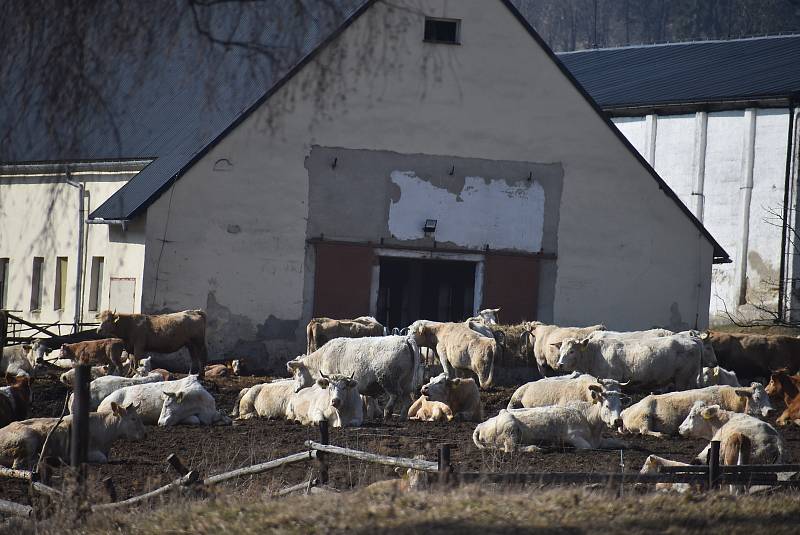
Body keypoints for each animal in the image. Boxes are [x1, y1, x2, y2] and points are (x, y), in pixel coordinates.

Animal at [290, 336, 424, 418]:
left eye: (297, 374)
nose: (295, 390)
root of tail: (405, 339)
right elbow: (369, 399)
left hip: (388, 379)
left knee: (394, 395)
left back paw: (387, 413)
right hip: (406, 383)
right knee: (407, 400)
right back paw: (402, 417)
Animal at [556, 332, 700, 392]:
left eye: (572, 351)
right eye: (561, 350)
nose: (559, 364)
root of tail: (692, 340)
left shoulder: (613, 378)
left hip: (683, 379)